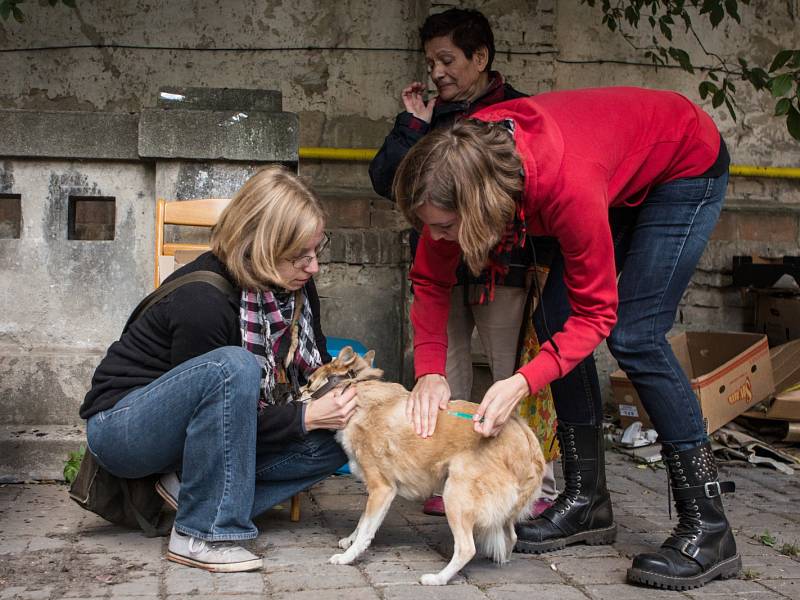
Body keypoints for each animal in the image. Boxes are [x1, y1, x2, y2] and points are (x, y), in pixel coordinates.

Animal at [296, 346, 548, 584]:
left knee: (466, 548)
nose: (293, 396)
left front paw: (349, 555)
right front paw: (350, 539)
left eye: (308, 381)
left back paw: (438, 578)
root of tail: (527, 438)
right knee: (511, 538)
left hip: (454, 495)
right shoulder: (377, 492)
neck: (357, 392)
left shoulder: (382, 489)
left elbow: (366, 527)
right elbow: (361, 521)